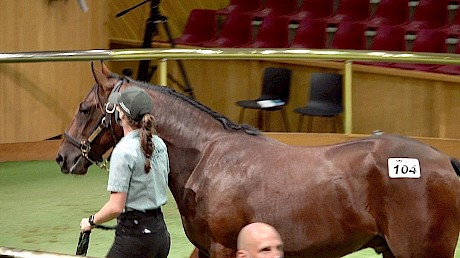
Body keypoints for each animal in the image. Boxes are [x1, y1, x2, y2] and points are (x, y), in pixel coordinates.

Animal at [56, 63, 460, 258]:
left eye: (85, 108)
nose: (64, 157)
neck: (207, 157)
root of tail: (445, 164)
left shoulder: (223, 248)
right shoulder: (205, 250)